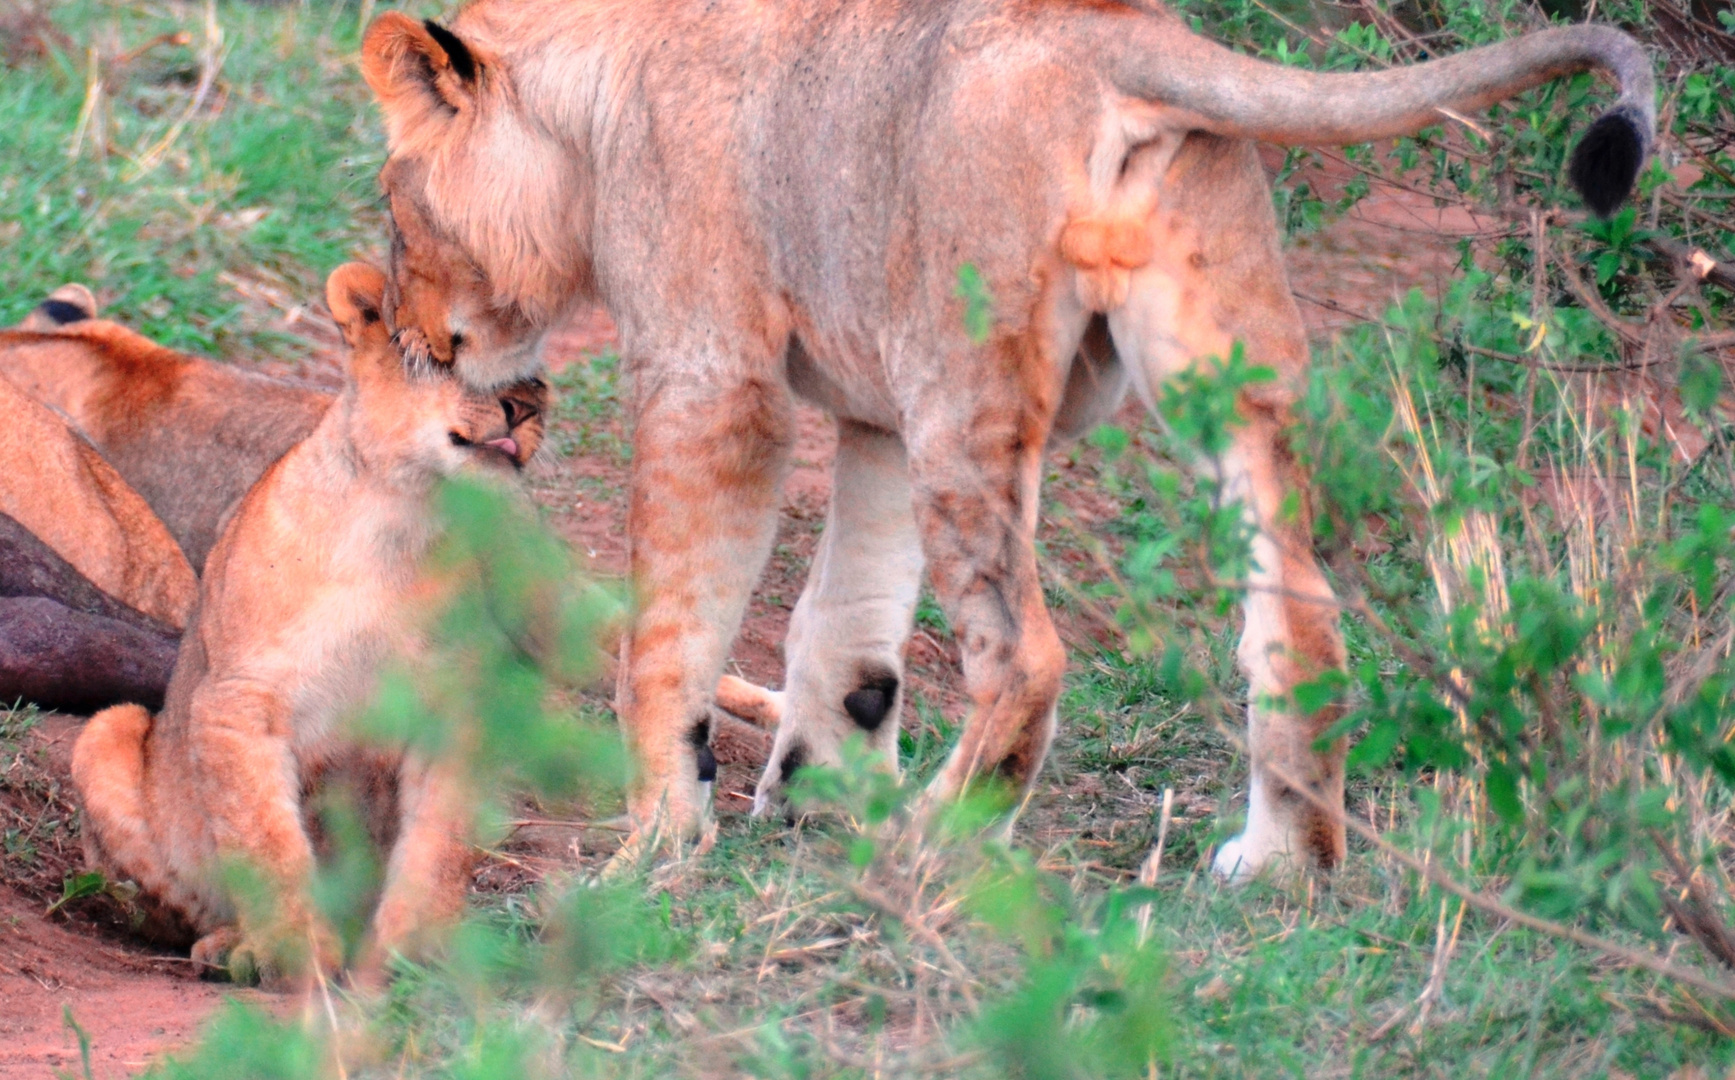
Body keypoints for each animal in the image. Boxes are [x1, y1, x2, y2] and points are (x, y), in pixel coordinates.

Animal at [71, 263, 544, 993]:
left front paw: (409, 967)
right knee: (179, 909)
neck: (405, 519)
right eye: (449, 353)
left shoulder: (456, 712)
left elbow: (436, 848)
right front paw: (295, 957)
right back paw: (230, 948)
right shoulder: (238, 700)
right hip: (106, 734)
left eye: (536, 375)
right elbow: (268, 844)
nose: (523, 407)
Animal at [355, 0, 1651, 882]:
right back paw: (1279, 863)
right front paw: (818, 795)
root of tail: (1118, 37)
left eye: (396, 208)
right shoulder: (868, 409)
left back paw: (930, 850)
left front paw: (659, 846)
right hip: (1208, 359)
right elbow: (848, 626)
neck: (594, 100)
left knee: (1026, 652)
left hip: (960, 383)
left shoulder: (711, 378)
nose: (414, 333)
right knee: (1299, 610)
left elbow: (671, 632)